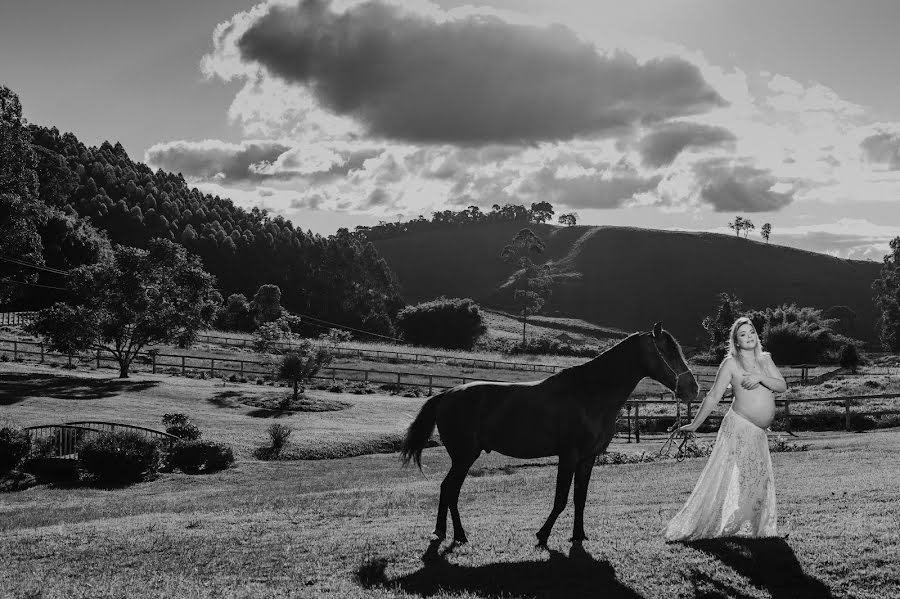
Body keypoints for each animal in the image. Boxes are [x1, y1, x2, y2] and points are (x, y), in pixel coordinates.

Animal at [402, 324, 704, 548]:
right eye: (667, 351)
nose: (693, 388)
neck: (589, 394)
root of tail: (445, 395)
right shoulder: (568, 456)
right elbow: (560, 499)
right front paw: (543, 535)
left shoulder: (587, 459)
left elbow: (580, 498)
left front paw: (578, 535)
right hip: (464, 457)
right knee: (449, 490)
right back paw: (455, 535)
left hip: (463, 457)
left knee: (448, 490)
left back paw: (447, 533)